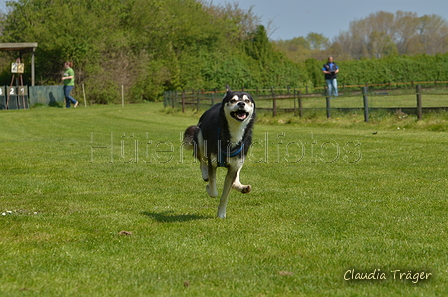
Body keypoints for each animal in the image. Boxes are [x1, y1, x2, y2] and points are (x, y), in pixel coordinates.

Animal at [184, 85, 256, 217]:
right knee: (202, 160)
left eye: (247, 100)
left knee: (236, 177)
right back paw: (205, 173)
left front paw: (221, 213)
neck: (234, 133)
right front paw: (209, 187)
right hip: (199, 136)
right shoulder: (212, 163)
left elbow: (225, 195)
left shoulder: (234, 167)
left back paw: (241, 186)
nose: (241, 103)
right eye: (232, 100)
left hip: (241, 159)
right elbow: (214, 192)